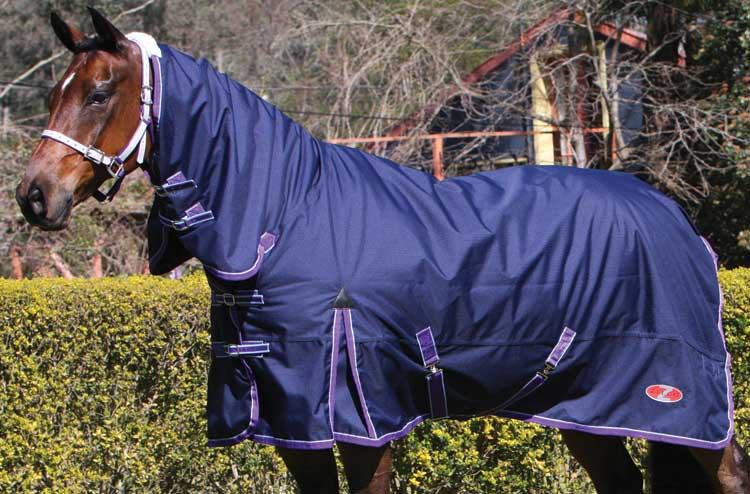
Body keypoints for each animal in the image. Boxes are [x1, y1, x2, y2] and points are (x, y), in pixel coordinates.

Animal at [15, 8, 750, 493]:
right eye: (53, 93)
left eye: (99, 92)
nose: (33, 196)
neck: (283, 218)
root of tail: (676, 219)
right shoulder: (291, 424)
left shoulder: (360, 416)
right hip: (585, 407)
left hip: (680, 404)